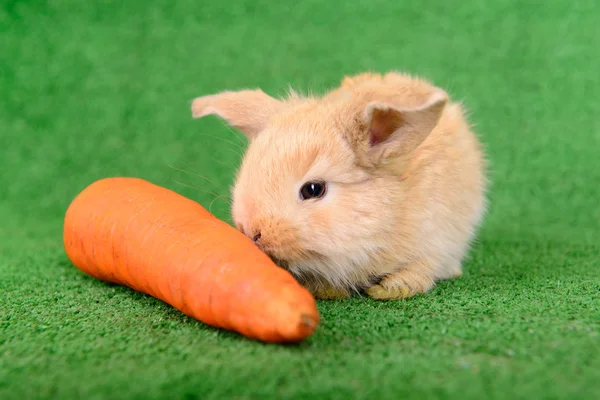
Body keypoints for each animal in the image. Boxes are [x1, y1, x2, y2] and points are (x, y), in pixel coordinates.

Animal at [192, 71, 488, 300]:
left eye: (313, 190)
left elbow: (420, 271)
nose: (251, 231)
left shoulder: (436, 242)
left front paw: (389, 289)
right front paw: (326, 290)